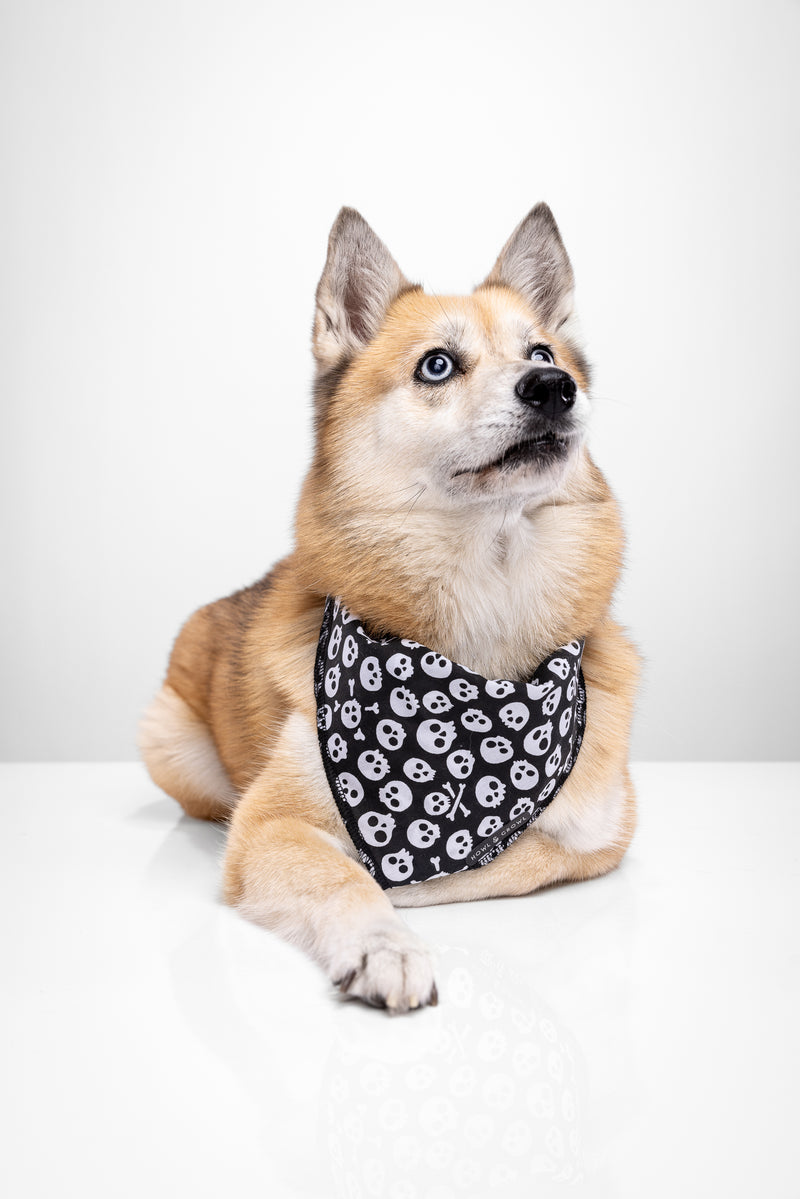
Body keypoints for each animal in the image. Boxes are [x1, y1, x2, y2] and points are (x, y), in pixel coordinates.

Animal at [137, 203, 638, 1011]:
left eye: (541, 349)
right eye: (437, 364)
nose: (553, 385)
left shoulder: (604, 834)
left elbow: (518, 858)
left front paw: (413, 887)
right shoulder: (269, 821)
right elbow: (342, 875)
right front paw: (383, 943)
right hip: (173, 744)